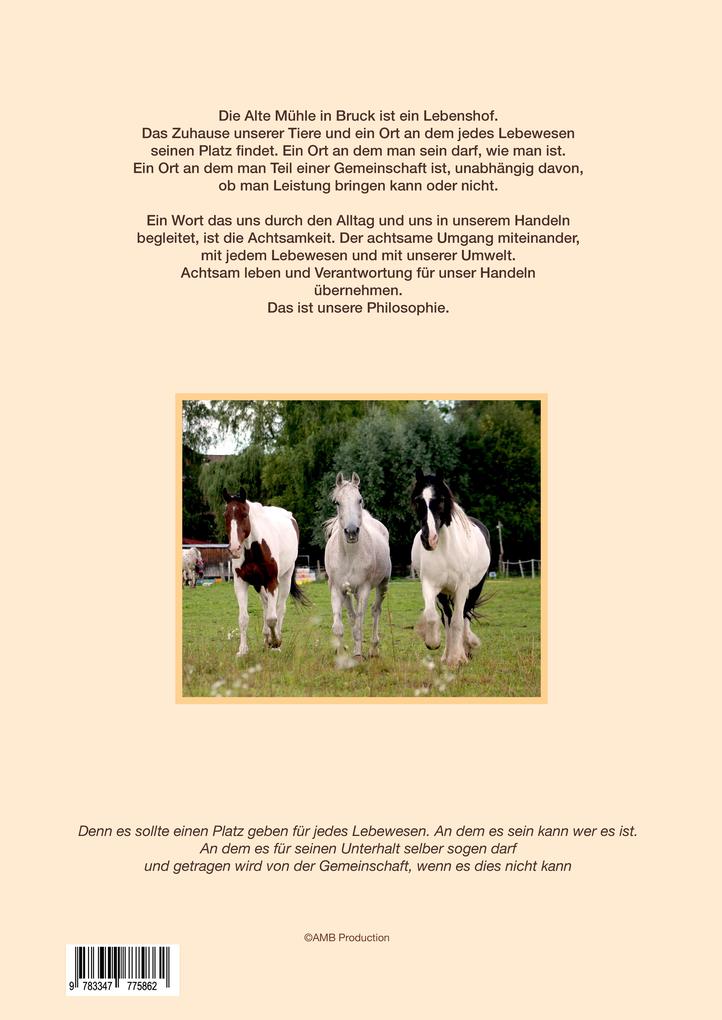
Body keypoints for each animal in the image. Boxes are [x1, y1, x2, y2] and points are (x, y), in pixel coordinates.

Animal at [222, 487, 308, 656]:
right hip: (259, 585)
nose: (234, 549)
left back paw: (275, 641)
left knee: (279, 608)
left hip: (285, 579)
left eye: (244, 514)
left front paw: (276, 642)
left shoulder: (272, 581)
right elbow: (243, 618)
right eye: (226, 515)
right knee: (266, 605)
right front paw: (242, 650)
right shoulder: (240, 583)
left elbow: (272, 618)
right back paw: (267, 637)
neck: (254, 548)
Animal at [324, 472, 392, 659]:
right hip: (348, 593)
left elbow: (360, 623)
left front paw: (358, 655)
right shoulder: (337, 588)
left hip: (383, 584)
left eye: (359, 500)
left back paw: (373, 649)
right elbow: (340, 626)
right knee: (352, 616)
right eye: (337, 502)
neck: (350, 555)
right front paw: (341, 655)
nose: (352, 532)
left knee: (376, 611)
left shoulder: (364, 589)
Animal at [411, 468, 492, 668]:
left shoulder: (462, 588)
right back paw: (446, 655)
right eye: (417, 500)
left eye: (440, 500)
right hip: (445, 594)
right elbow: (433, 616)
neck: (446, 549)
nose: (428, 539)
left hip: (474, 588)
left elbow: (458, 621)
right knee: (446, 617)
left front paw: (457, 658)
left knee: (464, 615)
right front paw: (433, 643)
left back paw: (465, 649)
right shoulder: (431, 585)